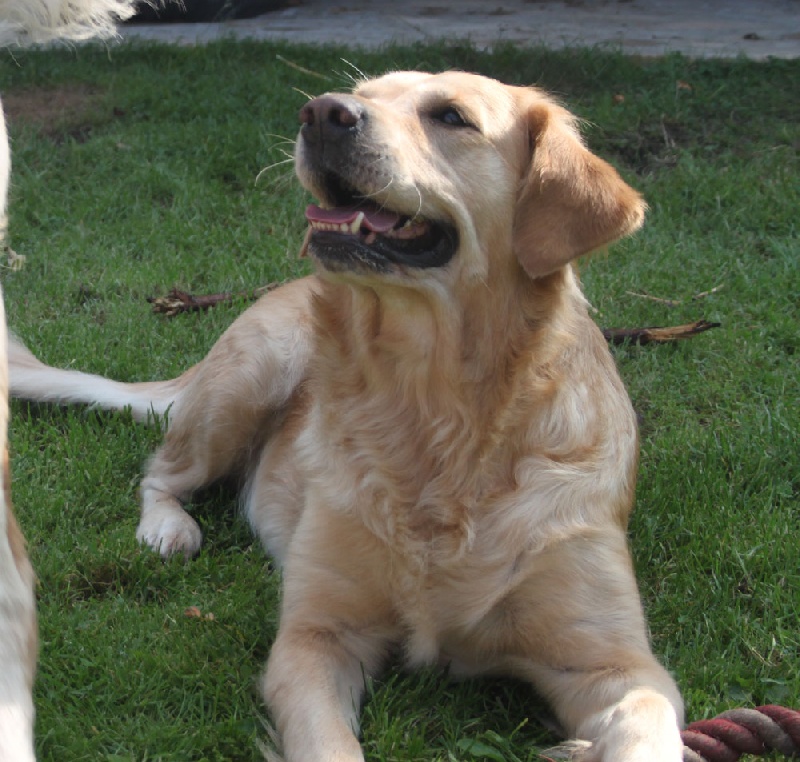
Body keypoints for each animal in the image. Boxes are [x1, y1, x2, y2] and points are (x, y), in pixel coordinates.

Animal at [8, 70, 685, 761]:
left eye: (451, 116)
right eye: (363, 92)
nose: (321, 114)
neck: (433, 403)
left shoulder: (616, 664)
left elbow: (647, 730)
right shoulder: (315, 637)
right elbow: (329, 743)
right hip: (251, 374)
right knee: (161, 472)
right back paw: (168, 528)